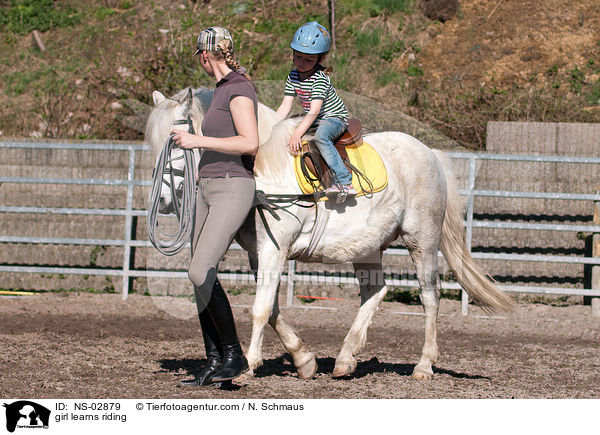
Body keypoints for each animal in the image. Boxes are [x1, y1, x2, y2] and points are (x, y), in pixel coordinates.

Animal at [148, 87, 512, 382]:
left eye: (176, 142)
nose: (163, 201)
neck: (264, 168)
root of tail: (429, 154)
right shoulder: (258, 253)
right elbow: (273, 308)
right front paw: (303, 360)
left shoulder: (274, 250)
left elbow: (261, 309)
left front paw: (249, 365)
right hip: (367, 248)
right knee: (375, 291)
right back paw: (345, 359)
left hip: (421, 240)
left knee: (429, 297)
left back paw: (423, 366)